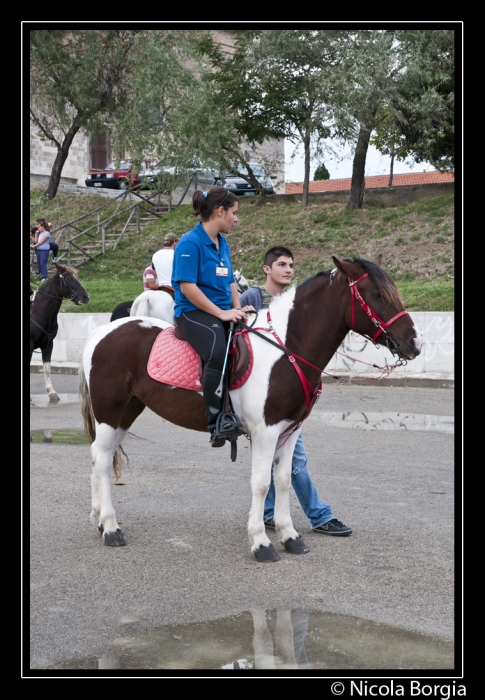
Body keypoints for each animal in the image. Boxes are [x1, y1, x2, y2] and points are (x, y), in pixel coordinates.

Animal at [30, 262, 90, 402]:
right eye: (69, 278)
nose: (86, 297)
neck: (37, 311)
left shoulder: (48, 345)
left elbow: (47, 368)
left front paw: (51, 392)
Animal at [78, 258, 420, 564]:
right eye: (375, 294)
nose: (414, 343)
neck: (286, 350)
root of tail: (101, 333)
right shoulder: (265, 431)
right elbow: (262, 483)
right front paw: (261, 543)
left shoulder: (289, 430)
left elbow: (284, 480)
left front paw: (290, 537)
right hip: (110, 411)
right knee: (102, 460)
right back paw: (111, 528)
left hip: (127, 410)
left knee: (98, 458)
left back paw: (99, 520)